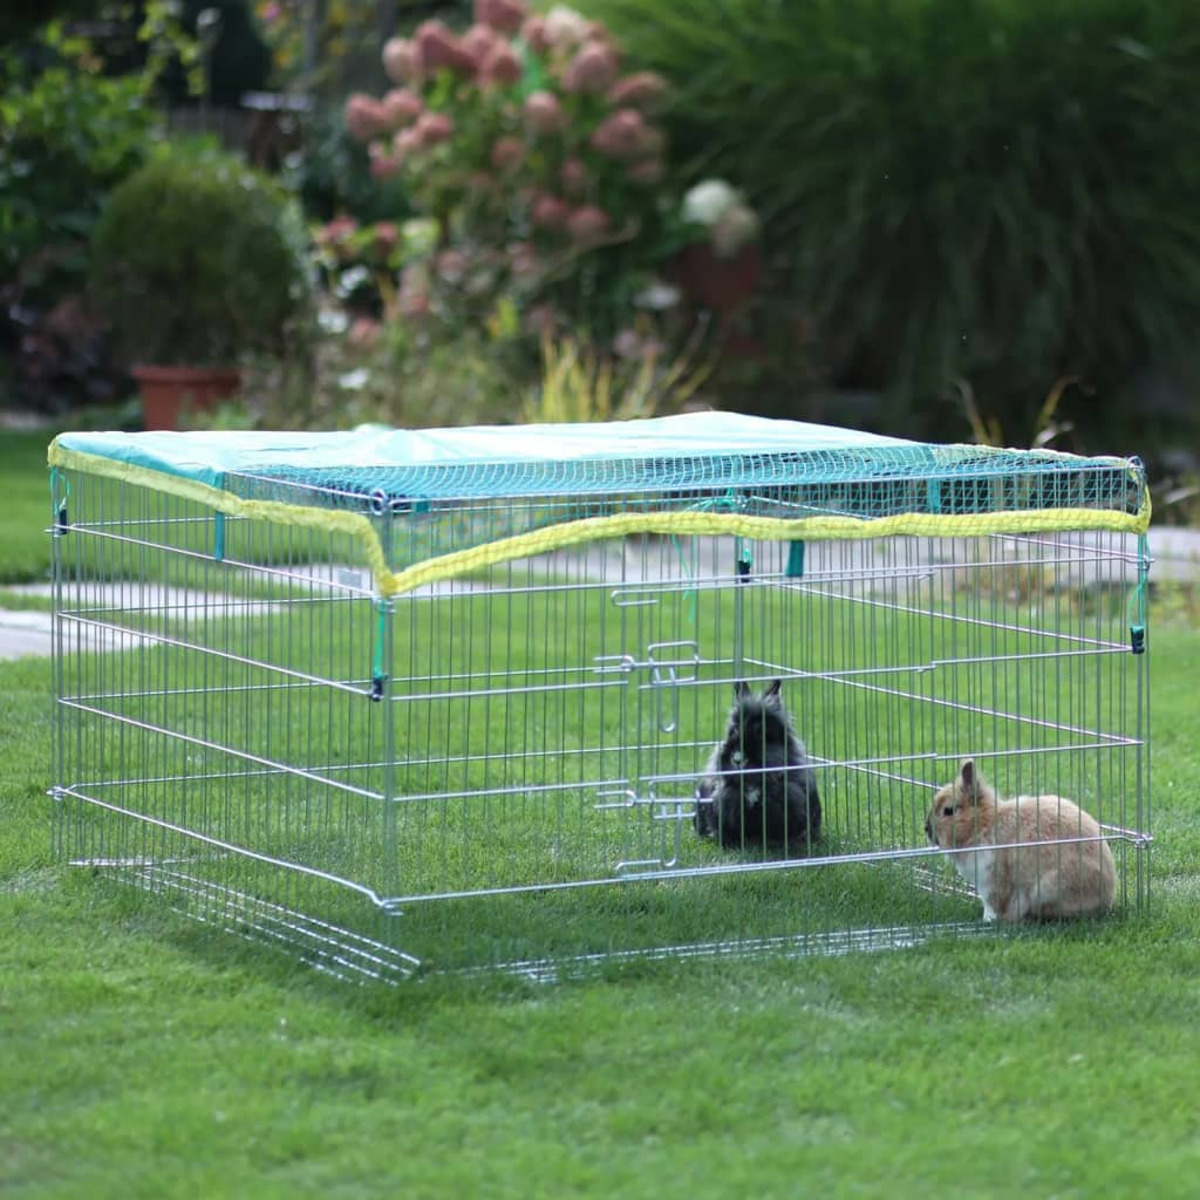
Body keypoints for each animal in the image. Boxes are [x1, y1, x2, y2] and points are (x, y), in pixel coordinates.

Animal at [925, 758, 1116, 922]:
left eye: (949, 811)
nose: (927, 829)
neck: (982, 824)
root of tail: (1107, 896)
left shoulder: (992, 880)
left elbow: (992, 904)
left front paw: (988, 920)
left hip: (1049, 887)